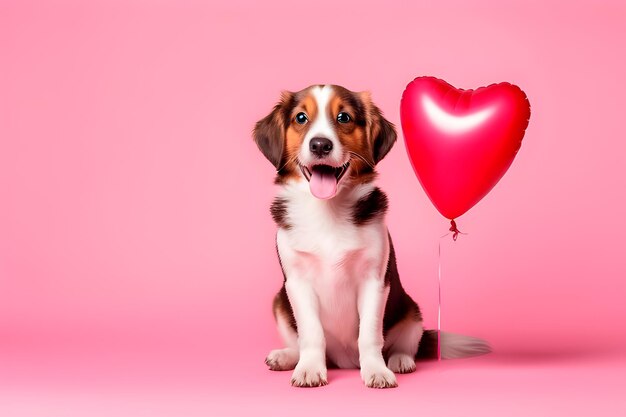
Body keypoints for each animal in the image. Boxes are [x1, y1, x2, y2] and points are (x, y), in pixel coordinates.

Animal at [252, 83, 488, 386]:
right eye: (301, 118)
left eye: (344, 117)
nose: (320, 145)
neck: (327, 210)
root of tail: (343, 361)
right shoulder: (297, 282)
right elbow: (311, 334)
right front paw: (310, 368)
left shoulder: (374, 281)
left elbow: (370, 335)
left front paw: (376, 370)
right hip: (280, 303)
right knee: (300, 341)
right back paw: (287, 357)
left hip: (411, 311)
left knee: (405, 342)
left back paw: (400, 360)